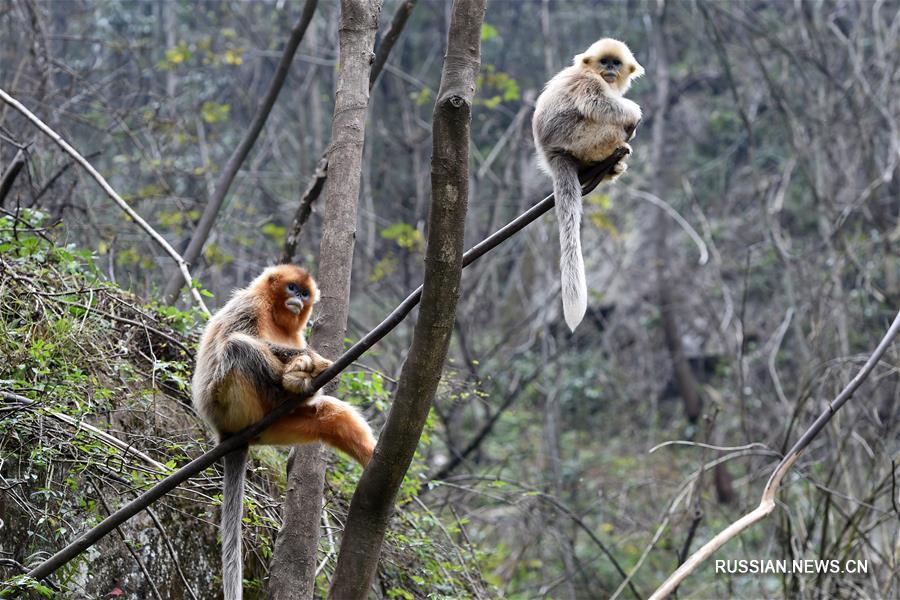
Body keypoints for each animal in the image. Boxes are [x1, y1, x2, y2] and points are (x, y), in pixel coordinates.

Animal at [192, 268, 374, 600]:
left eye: (304, 293)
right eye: (291, 288)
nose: (298, 299)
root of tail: (226, 434)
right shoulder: (248, 305)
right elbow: (241, 336)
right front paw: (310, 359)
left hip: (278, 426)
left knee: (329, 414)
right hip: (228, 401)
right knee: (238, 345)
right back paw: (291, 381)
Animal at [532, 38, 644, 332]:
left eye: (615, 63)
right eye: (604, 62)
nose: (609, 70)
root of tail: (552, 154)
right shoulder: (587, 81)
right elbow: (597, 102)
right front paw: (634, 112)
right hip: (583, 138)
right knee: (609, 122)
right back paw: (617, 145)